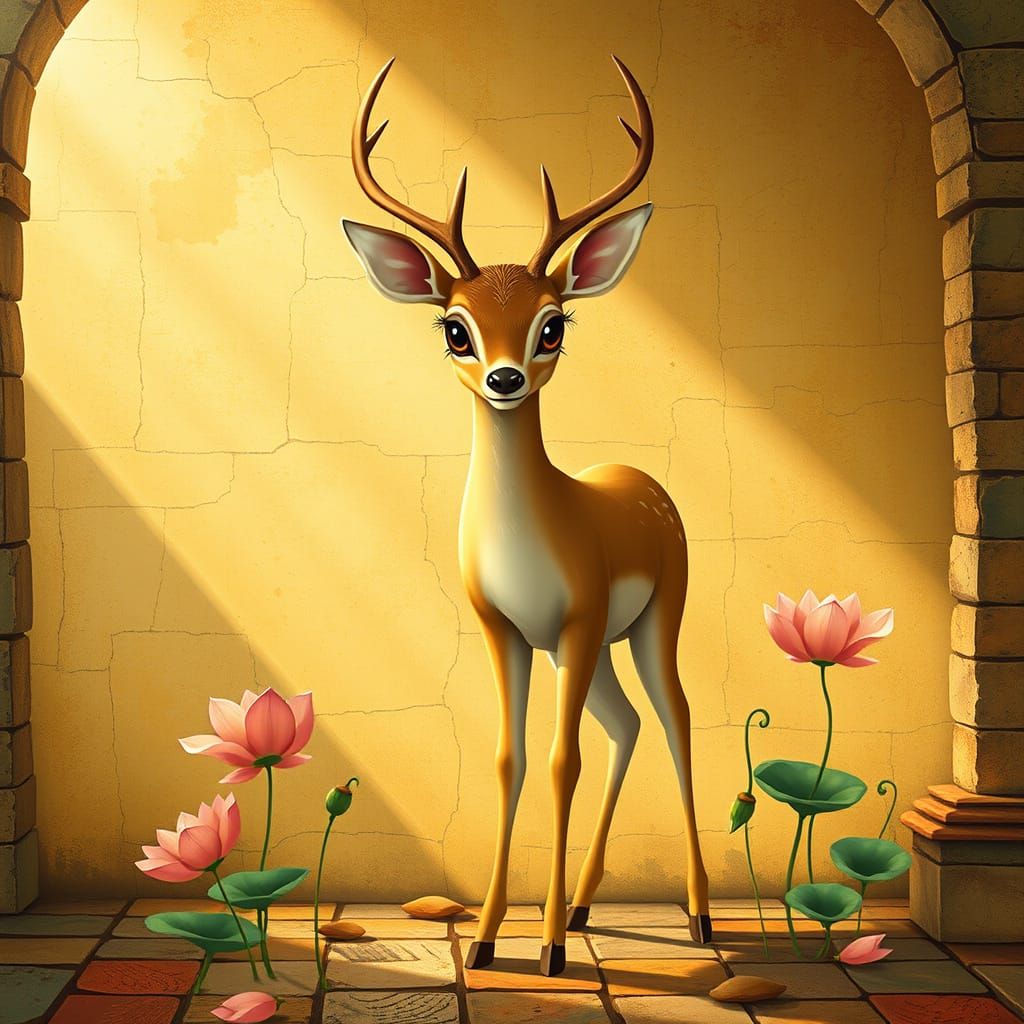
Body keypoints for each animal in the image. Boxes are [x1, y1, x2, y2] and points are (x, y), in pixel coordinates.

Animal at [341, 56, 711, 976]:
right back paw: (582, 905)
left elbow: (559, 760)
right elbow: (510, 760)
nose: (505, 378)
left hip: (653, 620)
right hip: (595, 647)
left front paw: (541, 948)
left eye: (553, 323)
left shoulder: (574, 621)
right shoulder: (505, 628)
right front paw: (481, 937)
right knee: (628, 725)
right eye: (454, 328)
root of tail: (643, 479)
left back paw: (695, 917)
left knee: (676, 718)